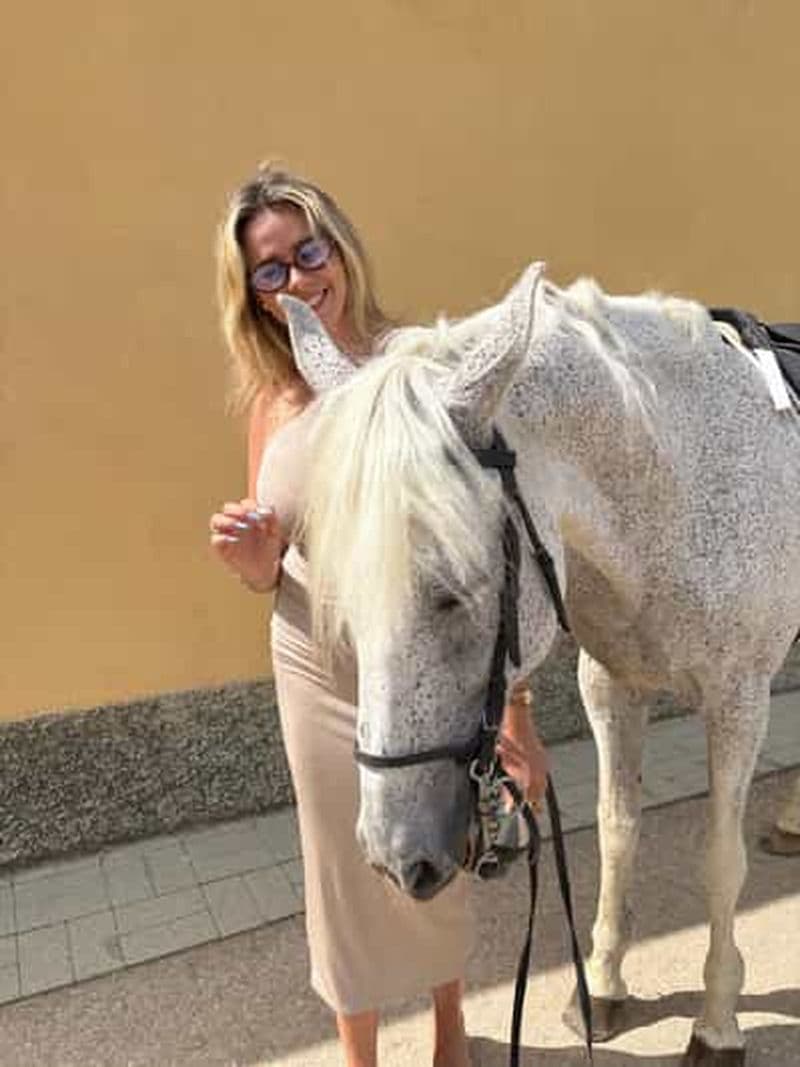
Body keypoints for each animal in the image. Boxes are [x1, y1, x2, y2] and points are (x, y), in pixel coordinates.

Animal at [274, 264, 800, 1066]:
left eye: (454, 590)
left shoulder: (738, 701)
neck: (682, 484)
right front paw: (603, 984)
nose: (396, 855)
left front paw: (716, 1023)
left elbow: (720, 859)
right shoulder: (614, 686)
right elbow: (617, 829)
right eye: (346, 601)